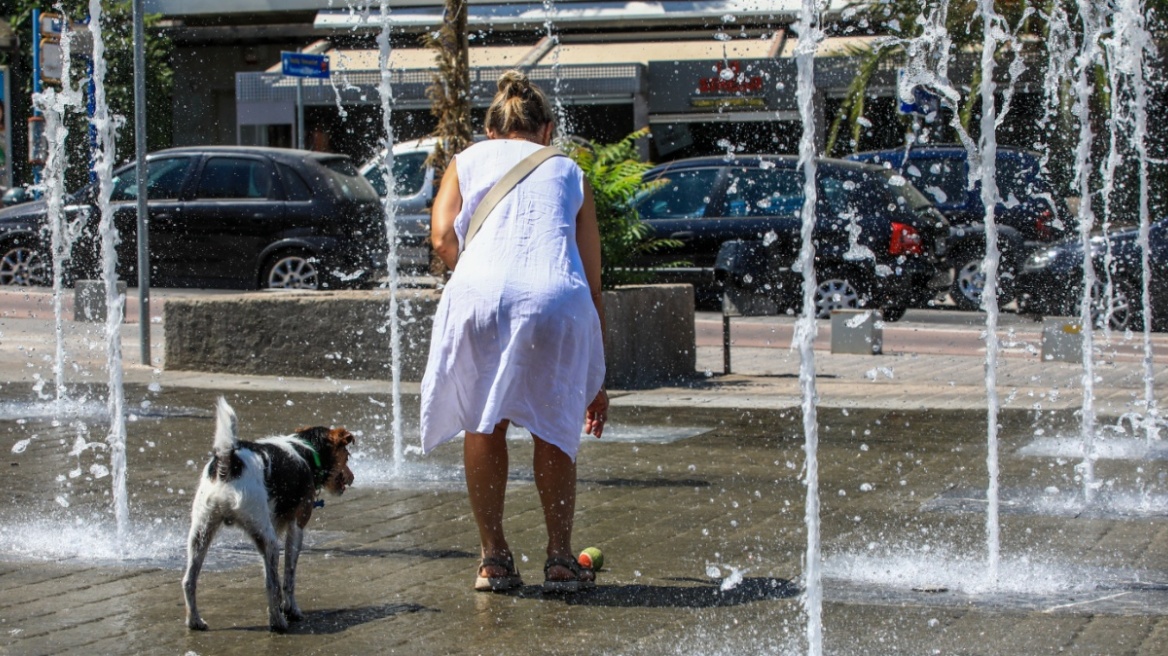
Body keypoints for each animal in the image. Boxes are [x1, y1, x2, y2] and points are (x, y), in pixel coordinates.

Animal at [181, 396, 355, 630]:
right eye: (347, 456)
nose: (352, 477)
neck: (306, 450)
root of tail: (228, 460)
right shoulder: (296, 526)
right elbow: (288, 577)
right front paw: (291, 609)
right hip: (268, 539)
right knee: (271, 585)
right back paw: (278, 622)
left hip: (201, 532)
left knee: (189, 581)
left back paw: (195, 621)